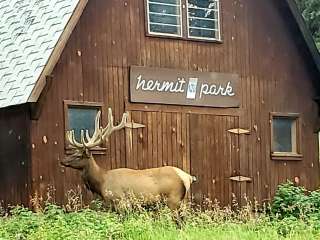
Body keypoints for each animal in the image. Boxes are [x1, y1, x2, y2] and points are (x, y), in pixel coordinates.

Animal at [59, 108, 196, 215]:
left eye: (78, 155)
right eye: (73, 152)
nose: (62, 160)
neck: (102, 182)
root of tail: (188, 177)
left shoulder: (120, 201)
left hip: (173, 199)